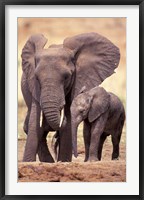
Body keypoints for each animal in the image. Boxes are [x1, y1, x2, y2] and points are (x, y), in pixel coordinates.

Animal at [20, 32, 120, 162]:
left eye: (67, 77)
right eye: (37, 77)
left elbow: (68, 119)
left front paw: (64, 161)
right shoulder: (33, 85)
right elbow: (34, 120)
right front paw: (28, 162)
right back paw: (48, 161)